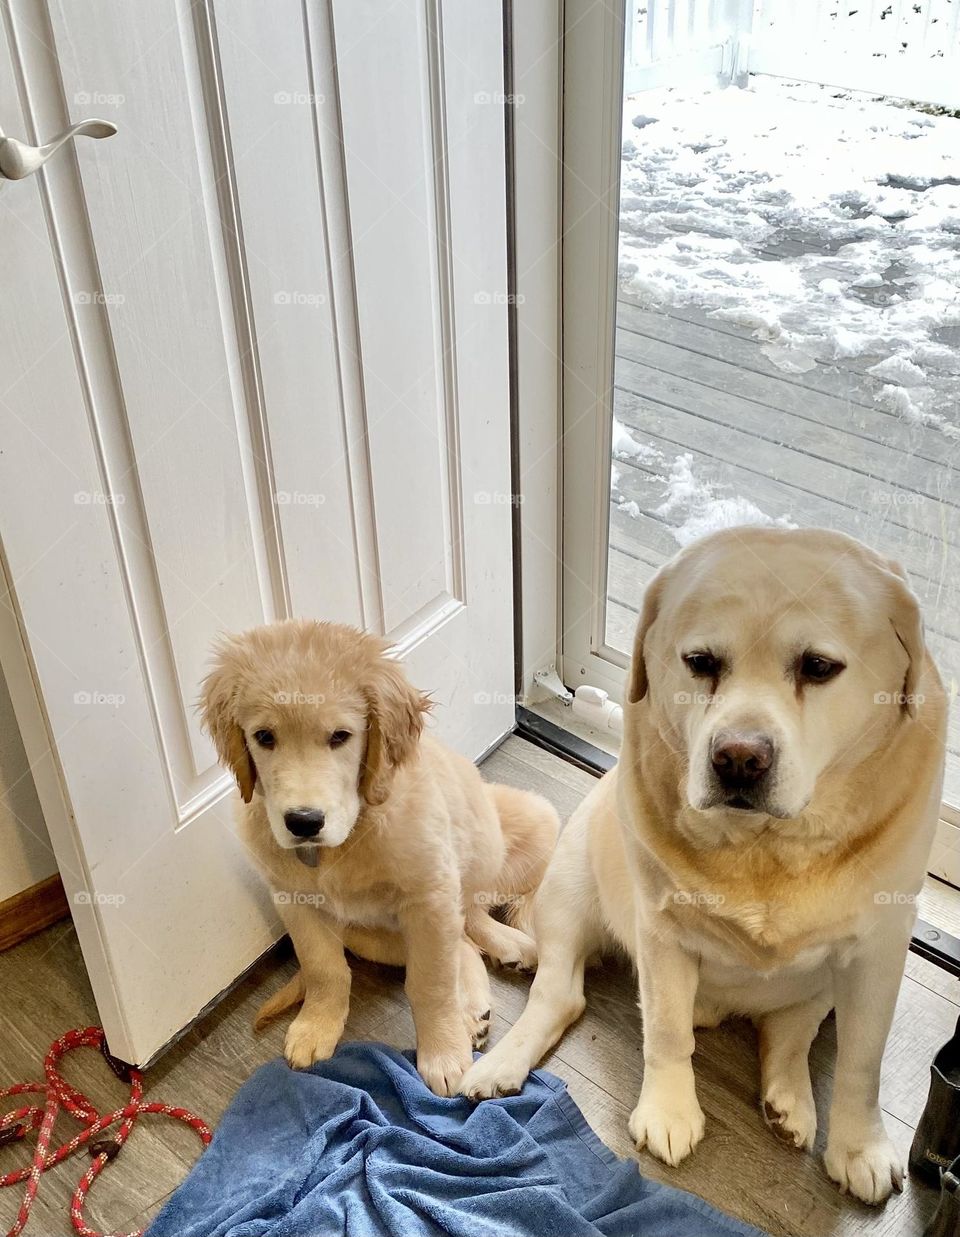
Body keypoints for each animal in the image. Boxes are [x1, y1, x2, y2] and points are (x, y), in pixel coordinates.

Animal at [202, 618, 561, 1093]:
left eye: (340, 736)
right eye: (264, 737)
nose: (303, 822)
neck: (343, 840)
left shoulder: (430, 897)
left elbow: (430, 983)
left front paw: (443, 1054)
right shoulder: (294, 901)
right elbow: (323, 969)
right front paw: (316, 1026)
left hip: (530, 824)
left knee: (472, 912)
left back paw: (508, 951)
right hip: (368, 936)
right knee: (463, 940)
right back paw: (474, 1008)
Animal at [460, 526, 950, 1202]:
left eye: (818, 667)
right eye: (701, 662)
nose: (739, 759)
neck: (765, 850)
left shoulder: (879, 950)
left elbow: (861, 1063)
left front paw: (860, 1146)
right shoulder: (663, 932)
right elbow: (666, 1032)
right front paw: (669, 1111)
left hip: (822, 979)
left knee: (793, 1026)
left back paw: (789, 1098)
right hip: (569, 887)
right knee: (560, 996)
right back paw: (505, 1061)